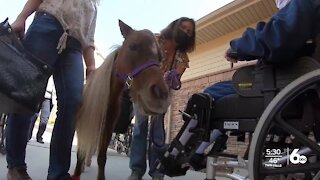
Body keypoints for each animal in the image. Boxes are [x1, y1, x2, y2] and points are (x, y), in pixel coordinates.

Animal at [73, 20, 170, 179]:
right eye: (133, 46)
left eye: (161, 58)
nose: (160, 95)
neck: (108, 98)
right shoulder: (83, 124)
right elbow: (80, 152)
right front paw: (76, 173)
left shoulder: (107, 128)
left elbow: (101, 157)